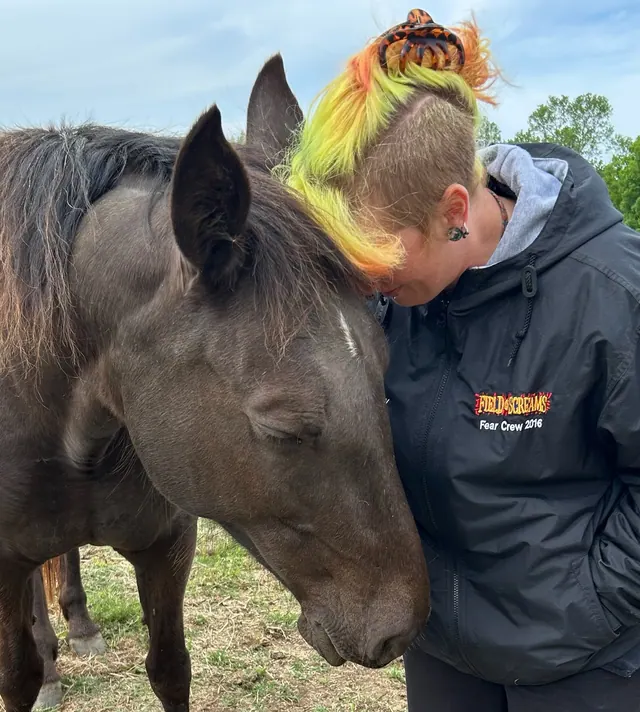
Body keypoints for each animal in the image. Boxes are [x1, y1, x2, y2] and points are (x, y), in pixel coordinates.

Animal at [0, 54, 431, 711]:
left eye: (383, 367)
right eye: (283, 426)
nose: (400, 630)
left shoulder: (167, 548)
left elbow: (170, 670)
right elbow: (16, 679)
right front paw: (40, 672)